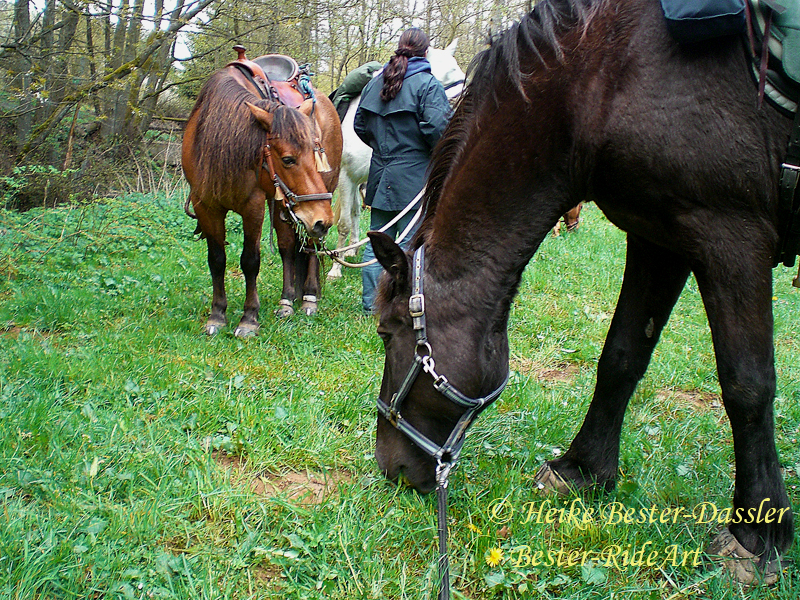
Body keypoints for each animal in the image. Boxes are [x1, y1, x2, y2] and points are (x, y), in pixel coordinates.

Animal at [183, 46, 342, 336]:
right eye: (288, 159)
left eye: (315, 151)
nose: (323, 219)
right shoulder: (206, 206)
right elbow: (217, 259)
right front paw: (217, 315)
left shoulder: (253, 206)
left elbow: (250, 261)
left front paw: (249, 318)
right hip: (286, 206)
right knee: (288, 246)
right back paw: (287, 301)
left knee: (312, 244)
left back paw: (309, 298)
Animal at [324, 42, 466, 282]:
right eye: (449, 73)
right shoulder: (346, 178)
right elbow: (343, 225)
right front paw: (335, 270)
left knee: (355, 211)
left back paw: (352, 249)